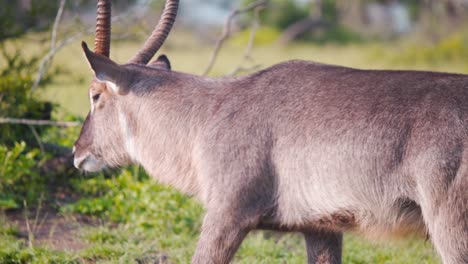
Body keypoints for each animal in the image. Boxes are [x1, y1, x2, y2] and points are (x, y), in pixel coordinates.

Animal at [73, 0, 468, 264]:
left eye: (95, 95)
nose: (77, 152)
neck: (206, 115)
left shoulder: (227, 214)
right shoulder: (321, 227)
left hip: (451, 229)